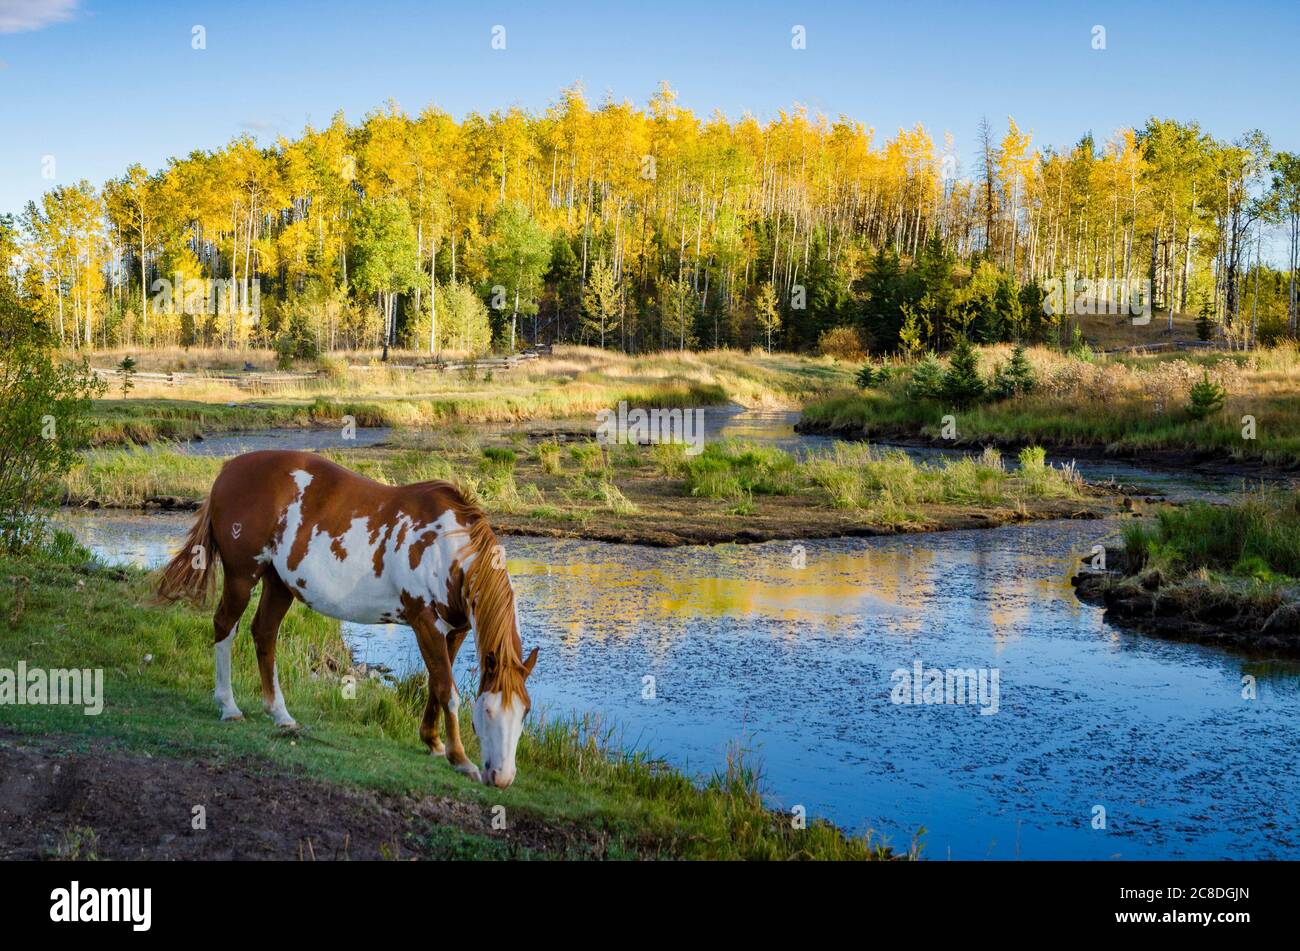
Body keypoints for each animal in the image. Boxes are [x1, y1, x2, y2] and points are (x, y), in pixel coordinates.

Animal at [156, 449, 538, 789]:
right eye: (487, 713)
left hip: (279, 583)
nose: (503, 778)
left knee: (264, 634)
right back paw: (228, 706)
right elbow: (448, 690)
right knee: (224, 628)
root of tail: (228, 470)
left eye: (524, 713)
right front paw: (460, 759)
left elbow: (435, 684)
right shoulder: (425, 623)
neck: (447, 546)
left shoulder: (454, 629)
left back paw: (280, 715)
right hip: (241, 576)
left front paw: (432, 742)